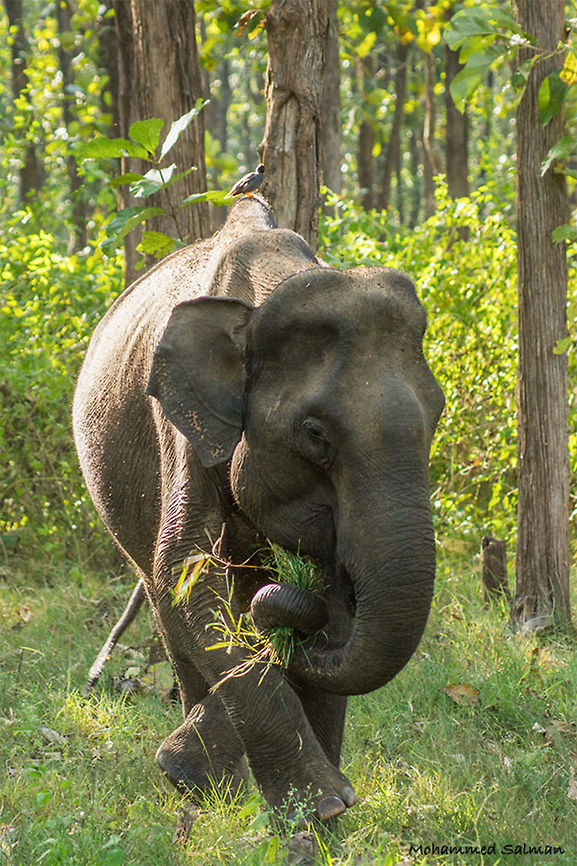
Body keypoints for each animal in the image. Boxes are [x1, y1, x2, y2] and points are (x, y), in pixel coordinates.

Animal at [73, 195, 444, 822]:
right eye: (315, 434)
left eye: (438, 413)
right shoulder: (184, 428)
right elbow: (187, 575)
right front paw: (321, 804)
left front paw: (332, 808)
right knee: (168, 609)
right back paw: (208, 789)